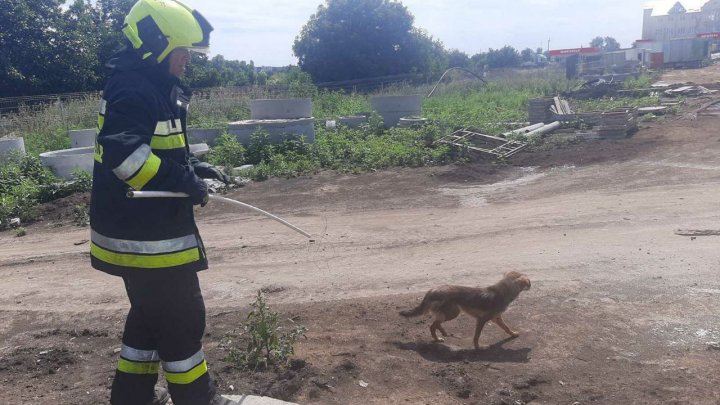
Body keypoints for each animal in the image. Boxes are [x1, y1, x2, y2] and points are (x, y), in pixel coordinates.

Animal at [400, 272, 528, 348]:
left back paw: (441, 335)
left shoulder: (496, 318)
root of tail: (432, 290)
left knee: (434, 325)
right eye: (529, 282)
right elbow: (477, 336)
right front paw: (477, 347)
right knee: (434, 325)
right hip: (453, 313)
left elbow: (507, 328)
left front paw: (513, 334)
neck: (502, 292)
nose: (530, 284)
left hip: (449, 313)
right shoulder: (482, 320)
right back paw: (441, 335)